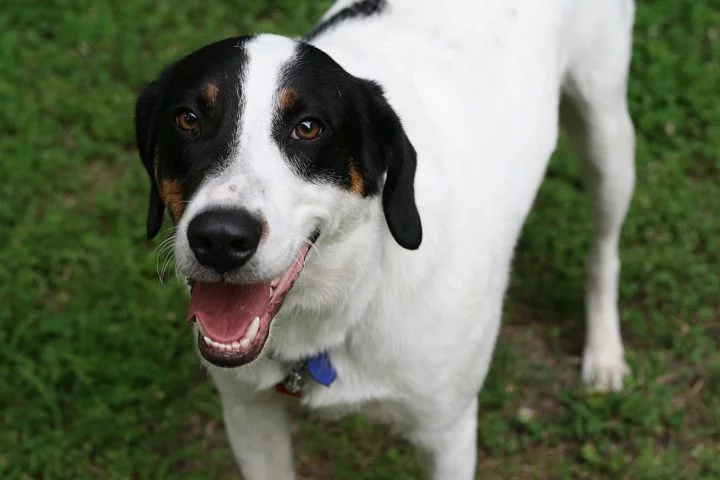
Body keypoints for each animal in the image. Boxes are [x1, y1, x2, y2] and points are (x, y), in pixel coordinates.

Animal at [134, 1, 636, 478]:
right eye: (188, 119)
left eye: (308, 127)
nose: (220, 238)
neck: (348, 297)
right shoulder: (249, 414)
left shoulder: (448, 432)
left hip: (606, 132)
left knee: (605, 248)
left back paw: (604, 354)